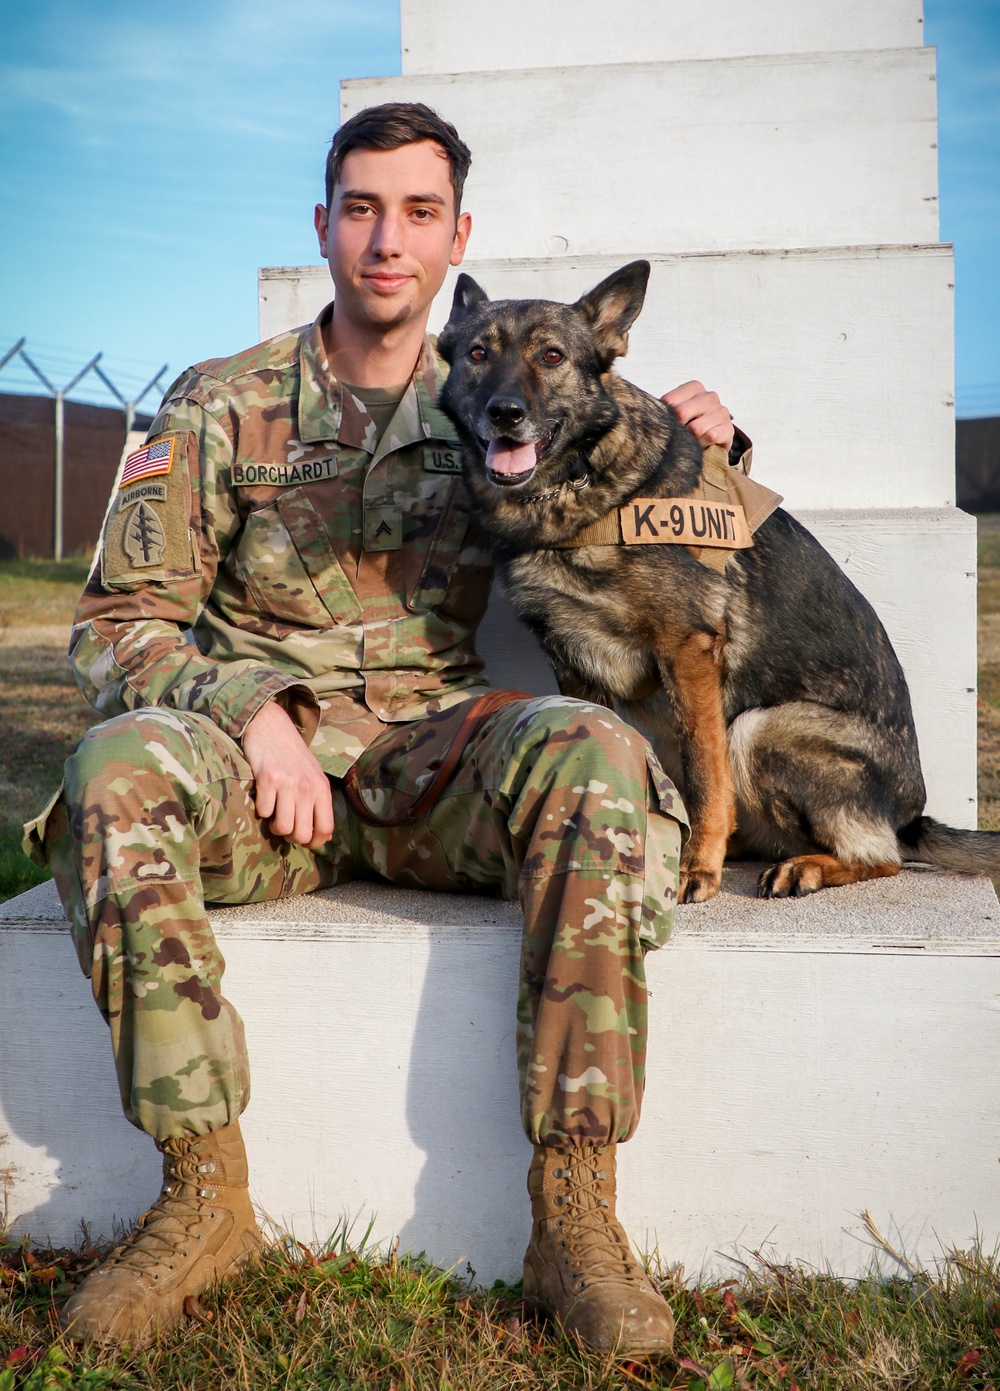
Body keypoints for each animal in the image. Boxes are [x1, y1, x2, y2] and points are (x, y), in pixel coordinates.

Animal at [439, 261, 1000, 906]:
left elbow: (706, 774)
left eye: (552, 356)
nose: (504, 412)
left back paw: (808, 866)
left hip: (758, 729)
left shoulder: (688, 653)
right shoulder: (573, 665)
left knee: (881, 857)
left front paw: (697, 868)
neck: (579, 493)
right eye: (478, 354)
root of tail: (911, 814)